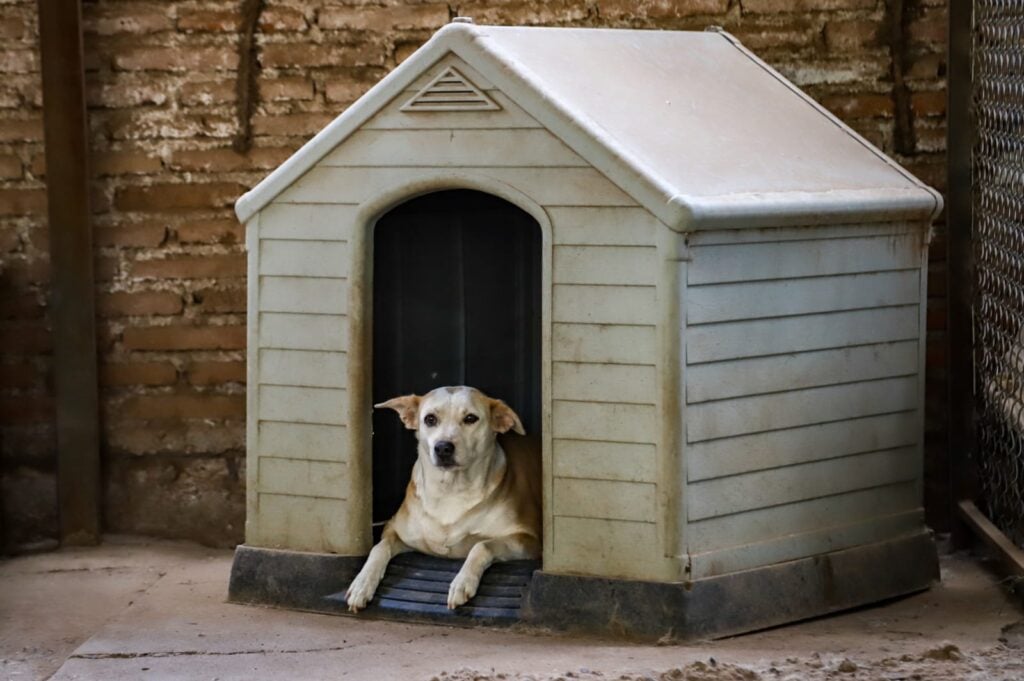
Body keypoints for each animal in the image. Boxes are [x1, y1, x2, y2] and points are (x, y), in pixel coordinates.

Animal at [344, 385, 540, 614]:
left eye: (471, 418)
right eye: (430, 419)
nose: (443, 447)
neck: (450, 490)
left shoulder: (527, 539)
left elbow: (481, 545)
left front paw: (462, 582)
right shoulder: (394, 529)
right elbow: (379, 548)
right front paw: (362, 583)